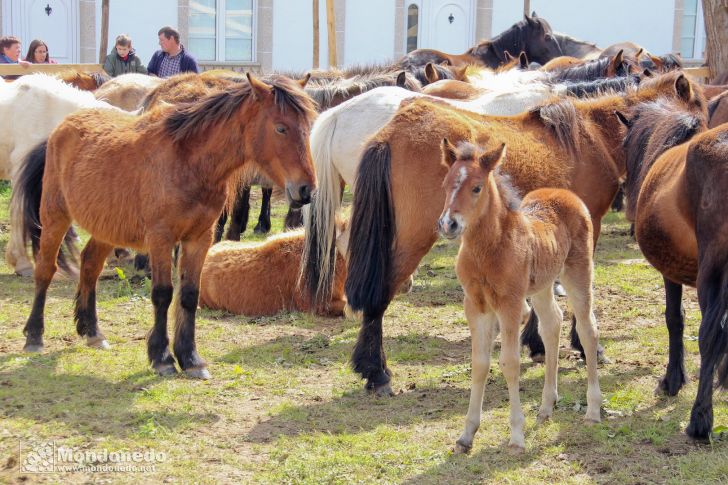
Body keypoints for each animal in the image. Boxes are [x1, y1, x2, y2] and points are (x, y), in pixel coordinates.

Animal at [438, 139, 604, 450]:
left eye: (476, 187)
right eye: (445, 184)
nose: (448, 224)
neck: (488, 250)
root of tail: (566, 193)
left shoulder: (510, 304)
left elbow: (510, 363)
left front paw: (516, 435)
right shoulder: (475, 305)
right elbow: (480, 364)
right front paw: (467, 435)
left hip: (578, 273)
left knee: (588, 331)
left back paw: (592, 411)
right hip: (541, 285)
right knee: (552, 323)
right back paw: (546, 406)